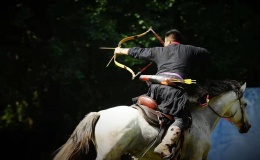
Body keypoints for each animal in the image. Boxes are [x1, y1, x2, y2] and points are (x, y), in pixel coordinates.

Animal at [53, 79, 252, 159]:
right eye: (245, 104)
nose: (248, 127)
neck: (202, 118)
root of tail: (100, 114)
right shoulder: (196, 157)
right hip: (108, 154)